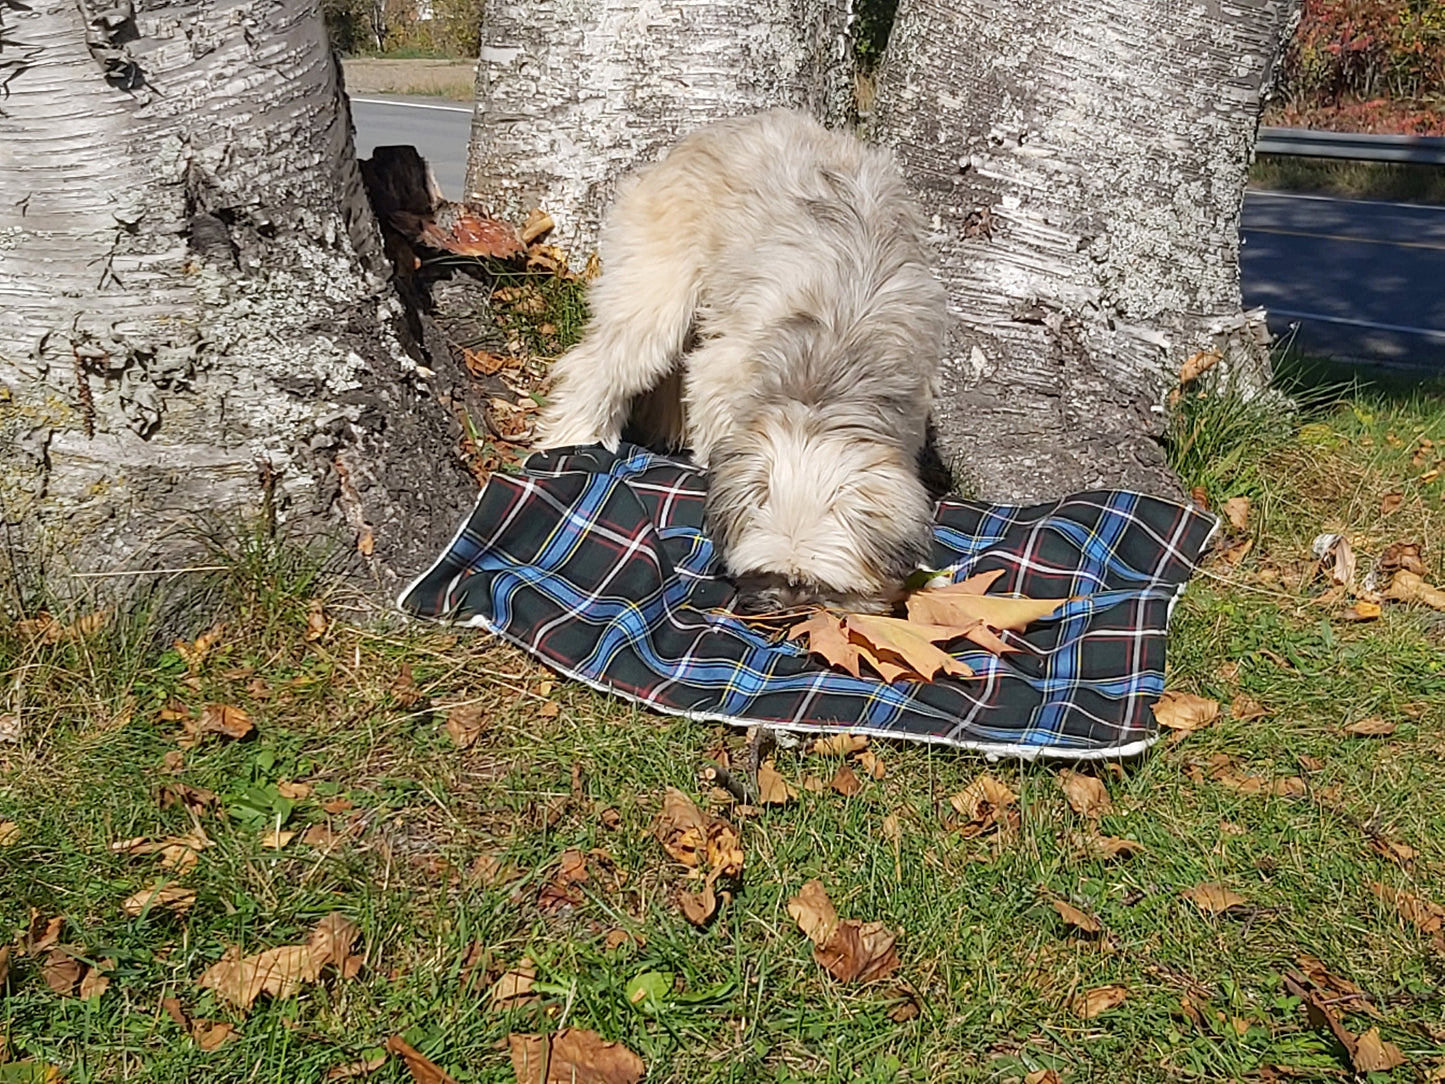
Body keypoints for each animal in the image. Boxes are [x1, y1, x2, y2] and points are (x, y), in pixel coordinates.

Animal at [537, 113, 942, 615]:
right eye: (774, 574)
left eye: (822, 586)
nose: (787, 609)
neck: (828, 368)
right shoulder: (724, 372)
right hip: (655, 294)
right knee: (599, 363)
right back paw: (575, 436)